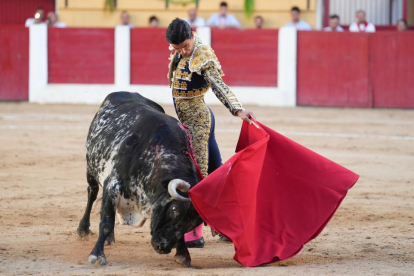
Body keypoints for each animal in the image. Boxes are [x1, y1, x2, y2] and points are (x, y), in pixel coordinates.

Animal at [77, 91, 204, 266]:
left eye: (192, 223)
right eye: (173, 210)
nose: (162, 247)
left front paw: (183, 254)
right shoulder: (113, 184)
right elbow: (106, 222)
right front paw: (97, 254)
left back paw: (109, 239)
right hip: (91, 168)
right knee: (93, 192)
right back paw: (83, 229)